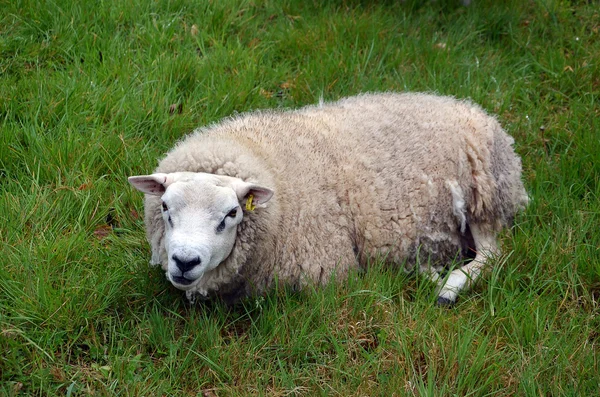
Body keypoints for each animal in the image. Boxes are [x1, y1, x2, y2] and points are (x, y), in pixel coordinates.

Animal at [129, 92, 528, 304]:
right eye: (164, 207)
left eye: (230, 215)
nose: (184, 261)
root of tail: (476, 110)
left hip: (484, 195)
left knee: (492, 254)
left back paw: (448, 286)